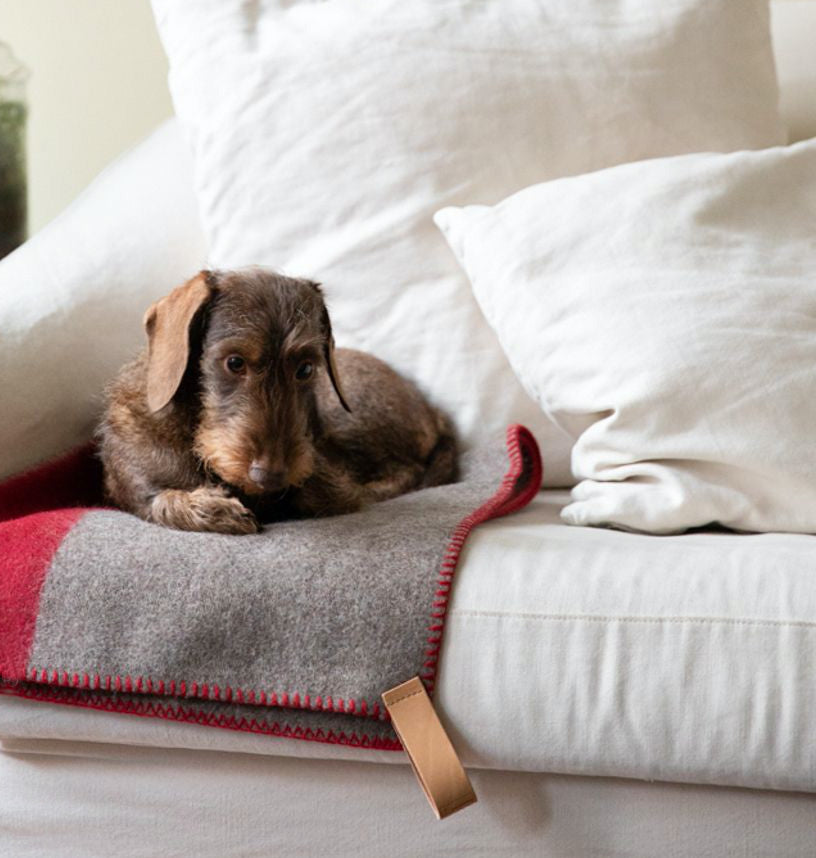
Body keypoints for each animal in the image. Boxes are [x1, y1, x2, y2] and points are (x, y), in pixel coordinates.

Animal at [98, 270, 456, 532]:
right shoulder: (138, 485)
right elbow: (162, 500)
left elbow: (323, 492)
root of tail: (432, 410)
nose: (269, 476)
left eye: (306, 368)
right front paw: (214, 508)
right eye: (234, 362)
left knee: (408, 470)